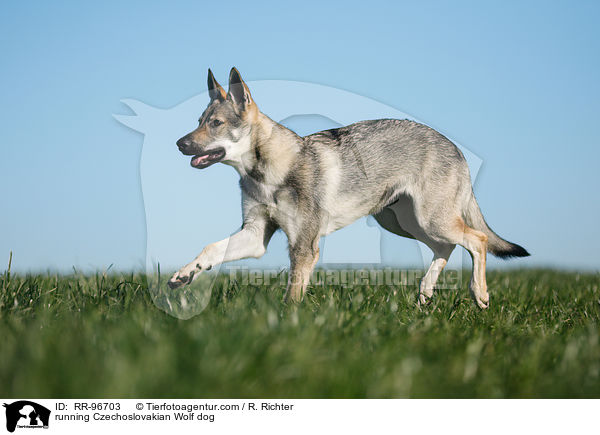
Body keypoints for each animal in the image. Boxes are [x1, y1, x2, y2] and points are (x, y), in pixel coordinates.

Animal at [166, 68, 528, 310]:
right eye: (199, 121)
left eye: (215, 124)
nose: (179, 143)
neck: (266, 172)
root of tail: (455, 147)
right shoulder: (255, 237)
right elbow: (210, 249)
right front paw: (184, 275)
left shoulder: (303, 246)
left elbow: (292, 294)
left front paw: (286, 323)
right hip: (405, 224)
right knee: (447, 247)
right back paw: (425, 292)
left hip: (430, 220)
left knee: (477, 240)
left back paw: (479, 294)